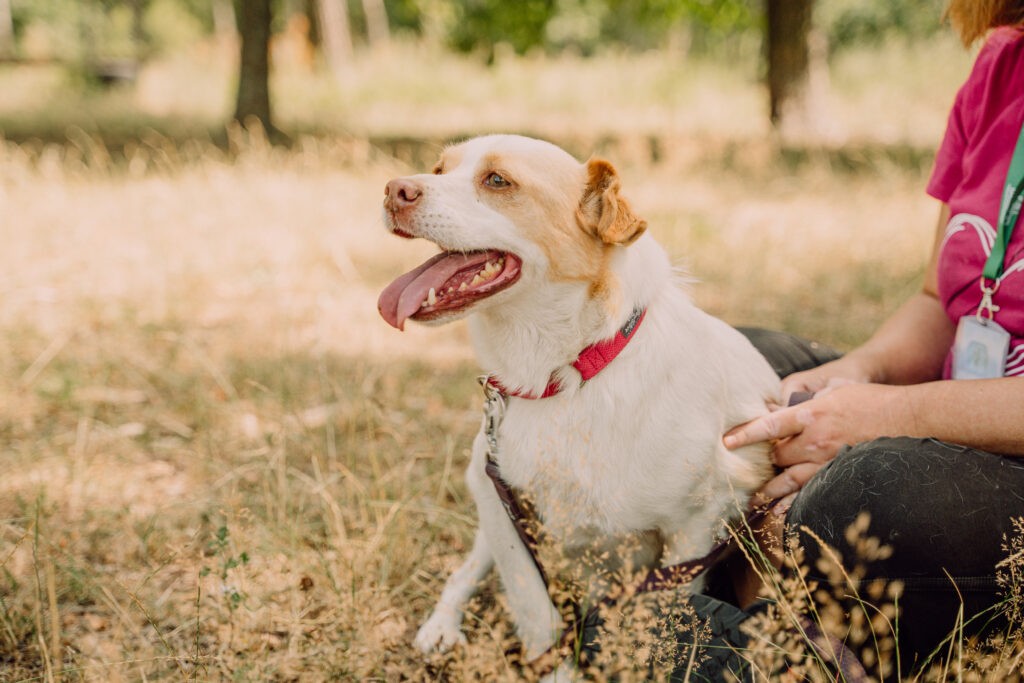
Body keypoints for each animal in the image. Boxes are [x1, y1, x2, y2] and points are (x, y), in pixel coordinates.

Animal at [380, 133, 778, 671]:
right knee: (465, 571)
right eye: (438, 169)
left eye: (497, 180)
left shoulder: (697, 524)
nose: (392, 190)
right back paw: (441, 628)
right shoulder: (504, 513)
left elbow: (656, 621)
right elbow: (537, 615)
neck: (566, 378)